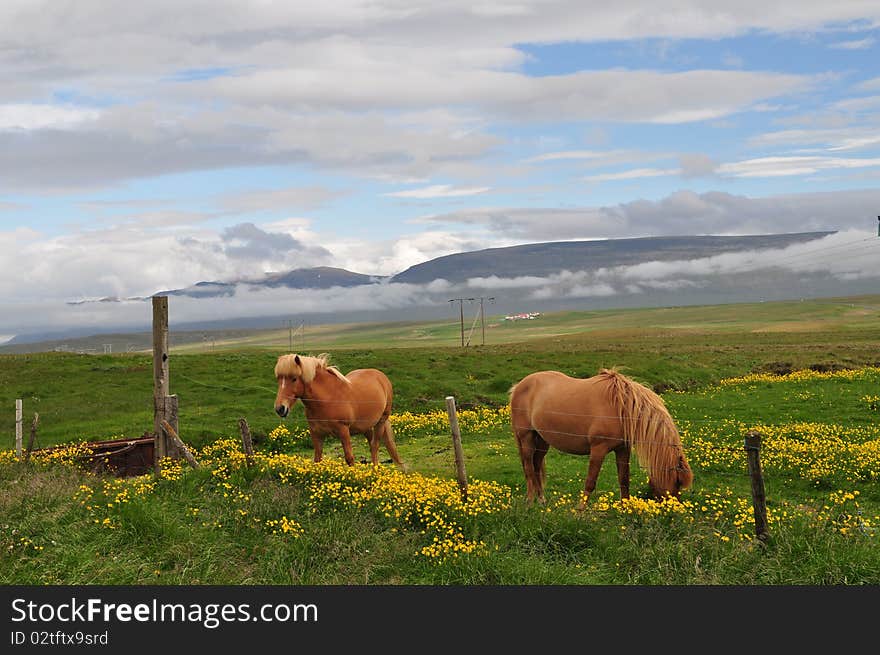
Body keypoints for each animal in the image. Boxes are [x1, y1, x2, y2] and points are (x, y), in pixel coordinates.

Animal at [274, 356, 404, 468]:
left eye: (294, 379)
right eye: (279, 379)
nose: (280, 409)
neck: (327, 398)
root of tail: (381, 376)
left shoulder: (343, 431)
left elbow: (349, 458)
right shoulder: (316, 433)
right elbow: (317, 459)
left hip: (381, 421)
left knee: (374, 445)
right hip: (365, 426)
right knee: (371, 443)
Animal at [512, 366, 692, 510]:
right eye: (678, 482)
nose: (673, 509)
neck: (622, 408)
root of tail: (518, 386)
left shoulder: (623, 449)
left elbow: (624, 479)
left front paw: (625, 508)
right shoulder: (598, 449)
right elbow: (591, 481)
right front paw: (580, 510)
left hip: (542, 440)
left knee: (536, 466)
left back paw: (541, 500)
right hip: (526, 436)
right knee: (528, 468)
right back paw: (530, 502)